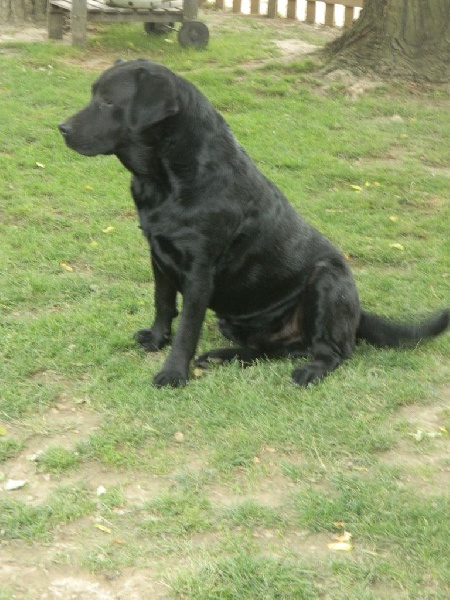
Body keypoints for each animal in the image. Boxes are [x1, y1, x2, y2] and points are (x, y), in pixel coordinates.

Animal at [59, 59, 446, 390]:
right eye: (93, 96)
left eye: (108, 102)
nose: (62, 128)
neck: (167, 178)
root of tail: (359, 314)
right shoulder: (158, 255)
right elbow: (163, 304)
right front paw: (156, 339)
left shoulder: (200, 272)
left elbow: (187, 328)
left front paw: (173, 373)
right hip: (237, 322)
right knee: (267, 350)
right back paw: (223, 356)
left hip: (327, 280)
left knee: (333, 351)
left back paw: (309, 370)